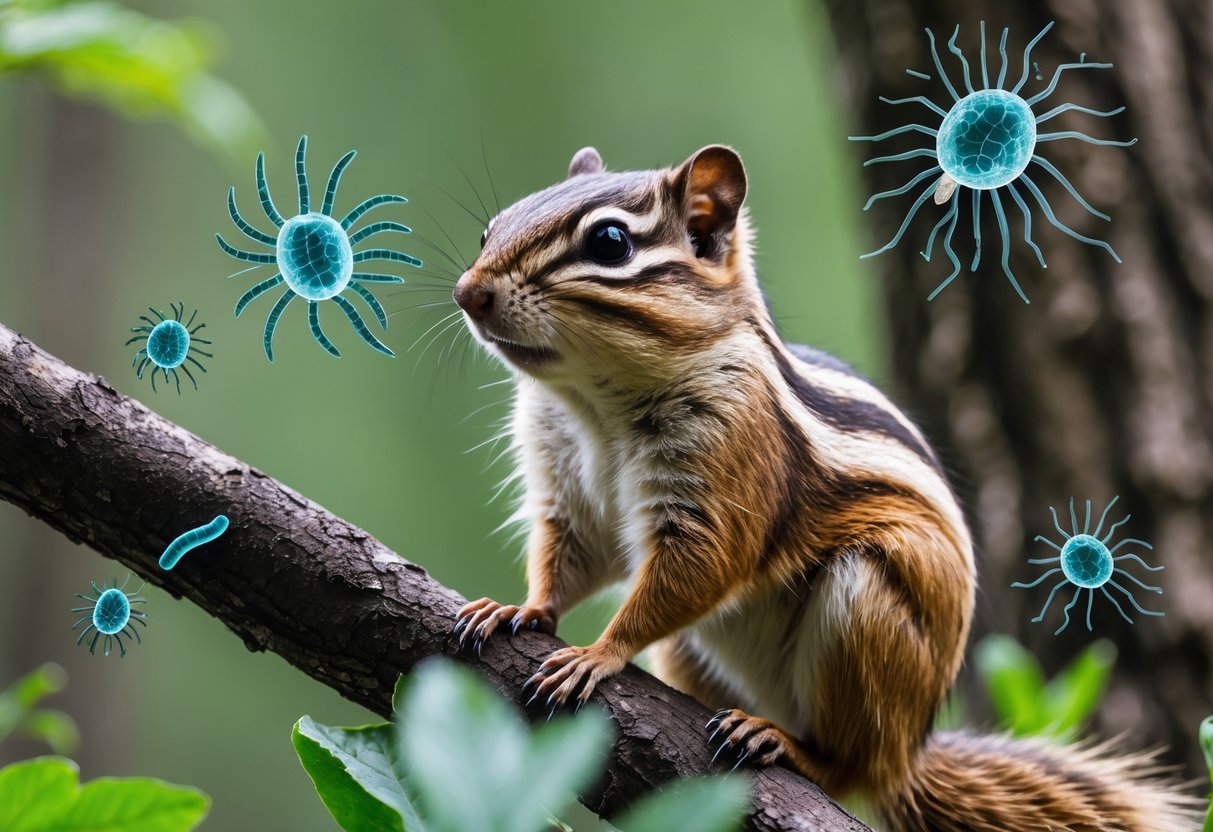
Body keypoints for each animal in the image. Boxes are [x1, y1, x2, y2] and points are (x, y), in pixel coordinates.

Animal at [450, 145, 1201, 831]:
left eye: (609, 243)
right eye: (491, 229)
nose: (468, 292)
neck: (594, 403)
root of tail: (910, 755)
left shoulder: (727, 469)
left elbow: (699, 568)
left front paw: (595, 655)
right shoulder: (567, 490)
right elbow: (571, 556)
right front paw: (522, 608)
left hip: (864, 608)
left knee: (850, 766)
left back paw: (783, 742)